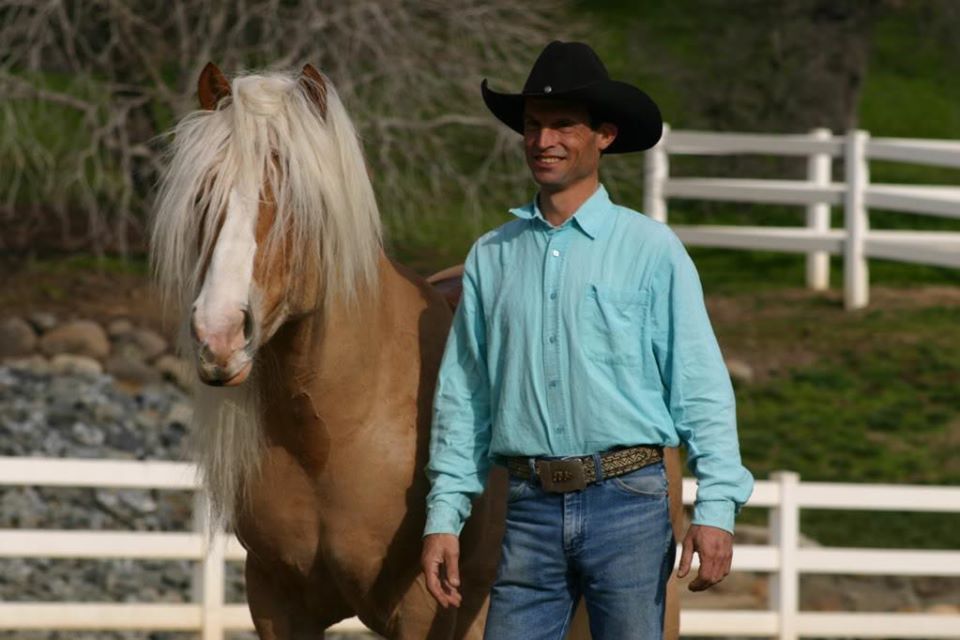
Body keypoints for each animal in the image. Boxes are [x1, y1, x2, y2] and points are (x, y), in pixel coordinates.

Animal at [151, 62, 683, 639]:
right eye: (204, 196)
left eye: (299, 200)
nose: (219, 333)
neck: (335, 435)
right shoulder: (275, 601)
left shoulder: (424, 610)